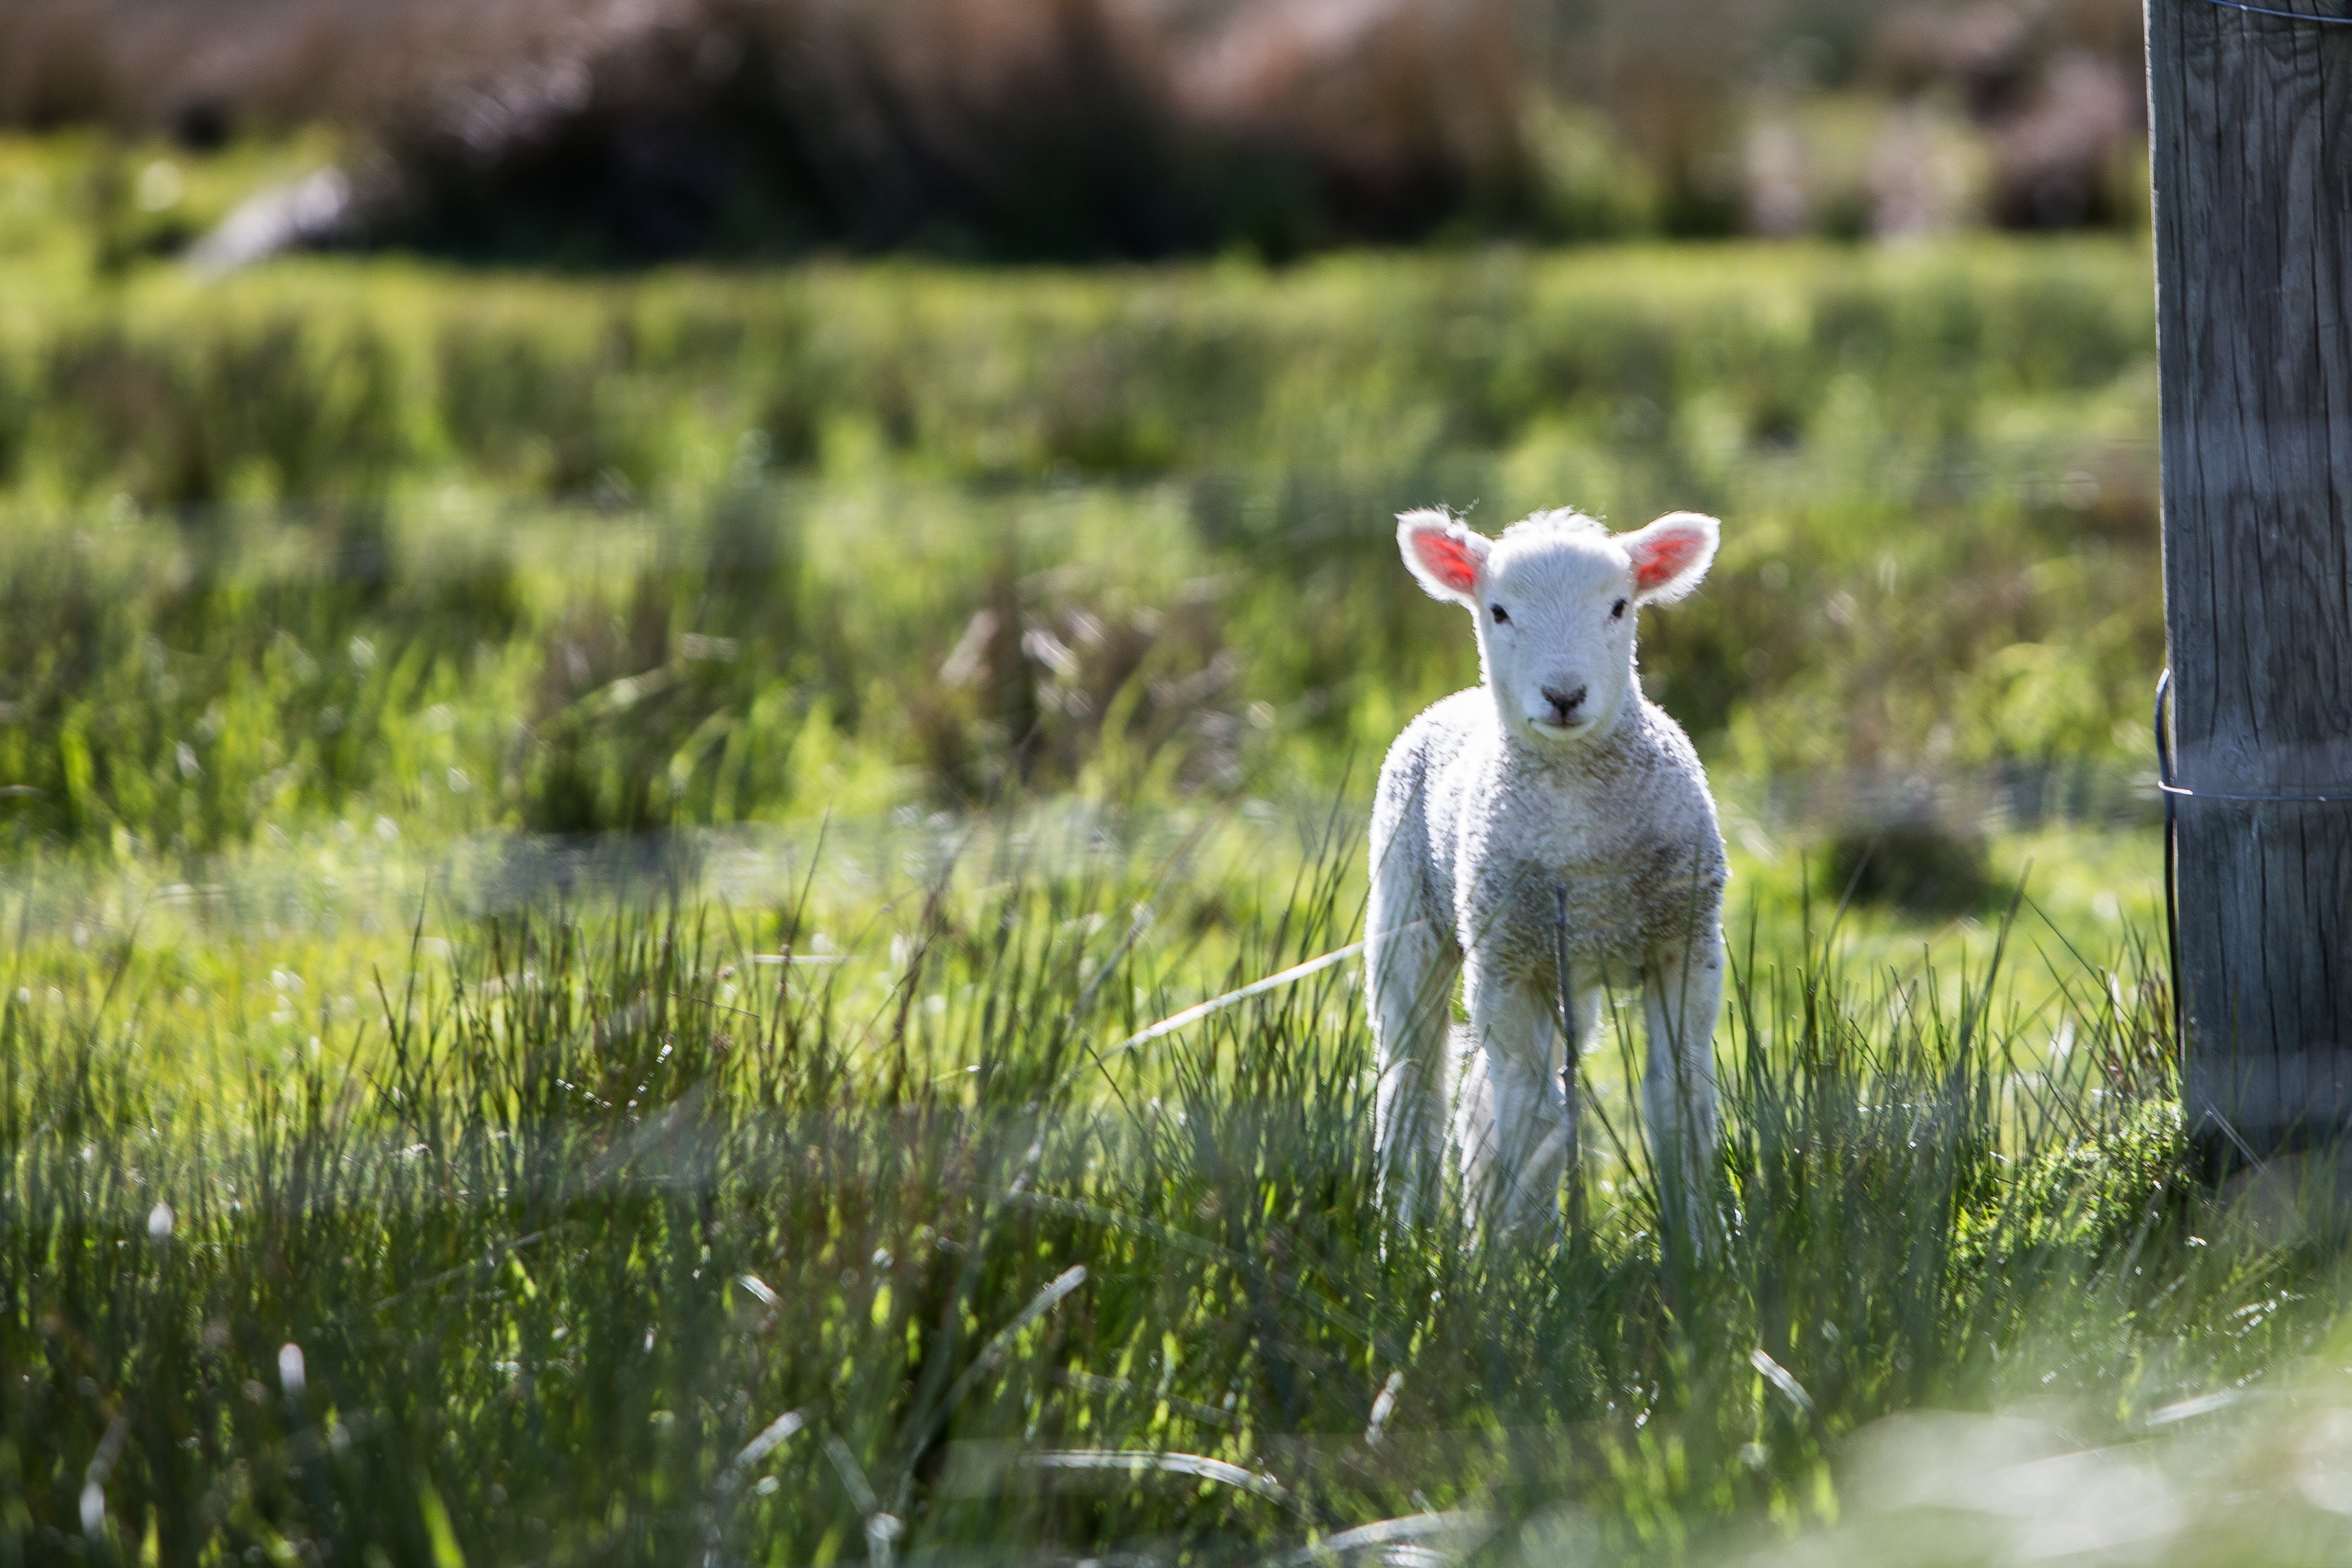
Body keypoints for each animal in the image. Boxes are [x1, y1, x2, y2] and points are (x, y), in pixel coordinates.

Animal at [1364, 510, 1731, 1241]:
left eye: (1619, 606)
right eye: (1499, 610)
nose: (1564, 696)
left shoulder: (1686, 945)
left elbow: (1679, 1098)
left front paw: (1697, 1242)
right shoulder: (1509, 963)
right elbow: (1530, 1114)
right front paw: (1528, 1253)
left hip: (1566, 970)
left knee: (1489, 1085)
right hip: (1406, 916)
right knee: (1415, 1079)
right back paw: (1407, 1228)